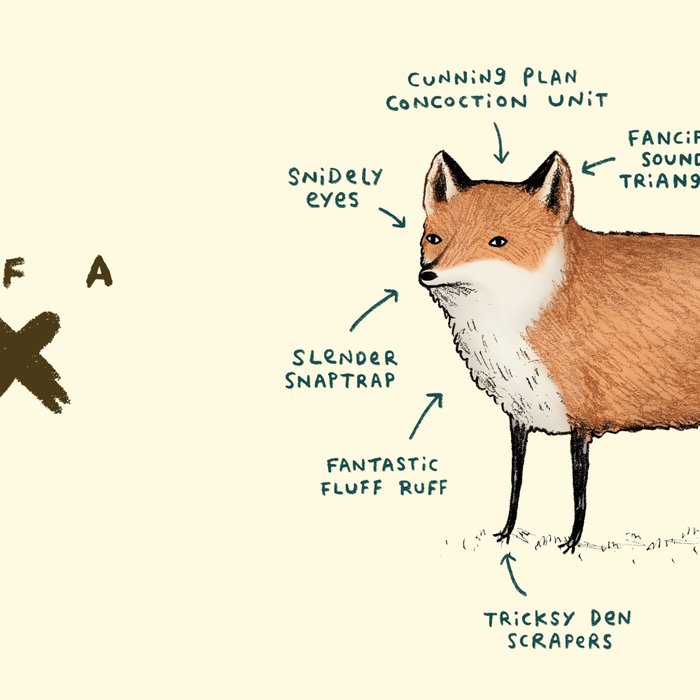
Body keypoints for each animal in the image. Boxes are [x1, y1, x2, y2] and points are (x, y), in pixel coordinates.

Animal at [419, 149, 700, 553]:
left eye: (498, 242)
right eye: (434, 238)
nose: (429, 274)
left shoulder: (582, 420)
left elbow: (578, 492)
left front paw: (571, 545)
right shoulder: (519, 412)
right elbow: (516, 481)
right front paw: (506, 535)